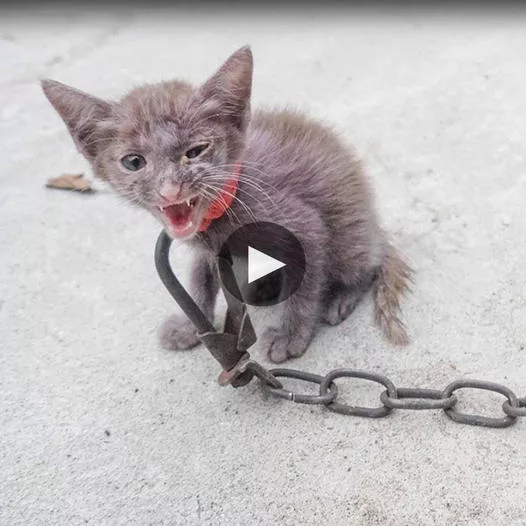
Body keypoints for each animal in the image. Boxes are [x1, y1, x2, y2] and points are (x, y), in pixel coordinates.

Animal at [42, 46, 412, 364]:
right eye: (134, 162)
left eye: (195, 151)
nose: (170, 189)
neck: (224, 209)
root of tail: (376, 227)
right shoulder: (206, 252)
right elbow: (198, 282)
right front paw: (191, 325)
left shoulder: (305, 227)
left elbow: (305, 287)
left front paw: (290, 335)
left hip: (350, 239)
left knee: (366, 264)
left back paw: (340, 297)